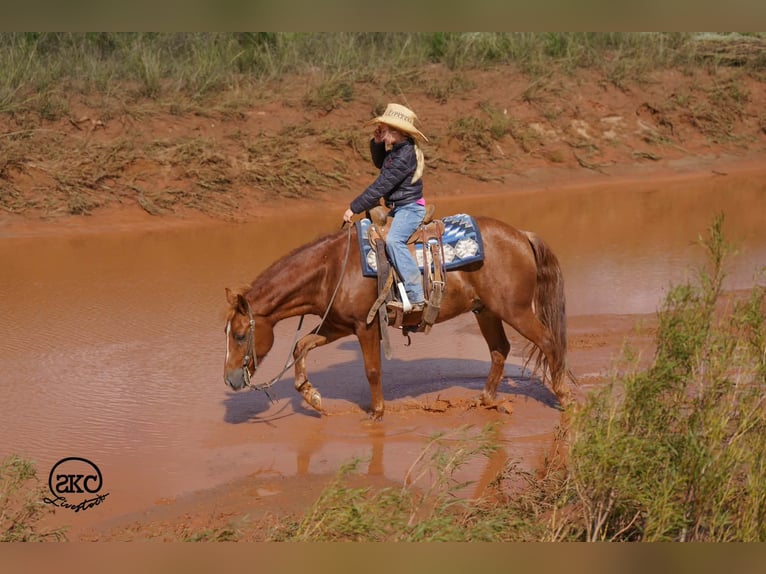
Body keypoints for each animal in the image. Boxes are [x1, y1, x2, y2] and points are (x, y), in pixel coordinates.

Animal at [223, 215, 572, 420]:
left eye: (240, 335)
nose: (230, 379)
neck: (331, 269)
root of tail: (522, 235)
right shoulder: (337, 325)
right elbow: (301, 346)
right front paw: (314, 397)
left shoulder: (364, 327)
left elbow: (372, 370)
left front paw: (377, 412)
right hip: (486, 311)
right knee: (500, 349)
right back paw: (485, 399)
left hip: (515, 311)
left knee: (549, 343)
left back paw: (564, 397)